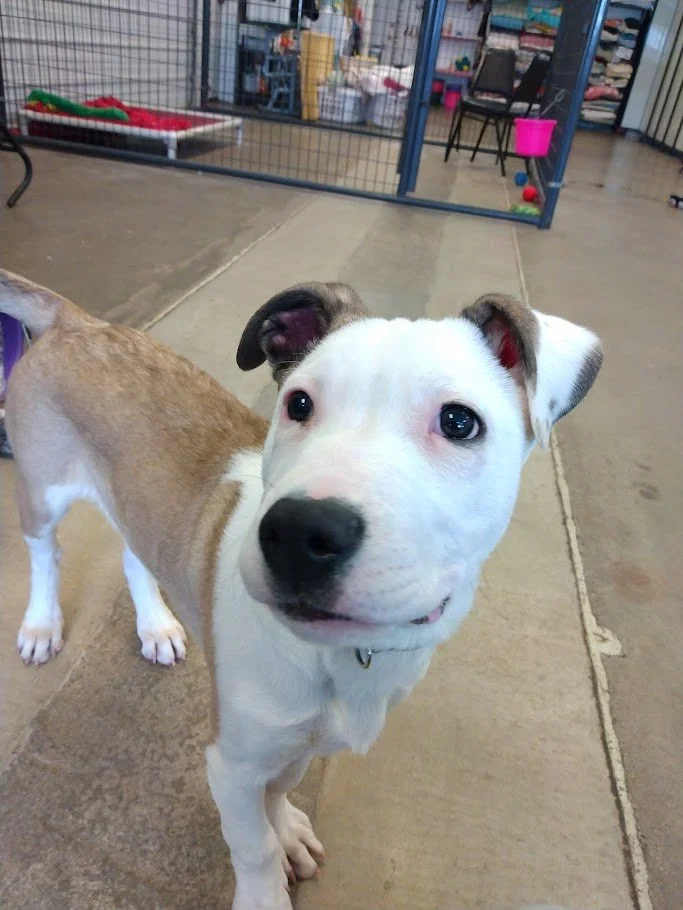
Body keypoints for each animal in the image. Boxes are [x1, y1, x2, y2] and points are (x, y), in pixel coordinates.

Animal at [0, 270, 602, 909]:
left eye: (459, 422)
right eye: (299, 403)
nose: (295, 533)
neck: (336, 658)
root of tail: (79, 322)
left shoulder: (299, 744)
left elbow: (281, 787)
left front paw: (285, 827)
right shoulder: (230, 762)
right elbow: (252, 845)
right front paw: (265, 885)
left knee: (135, 556)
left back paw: (155, 626)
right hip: (41, 489)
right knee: (46, 555)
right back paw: (41, 625)